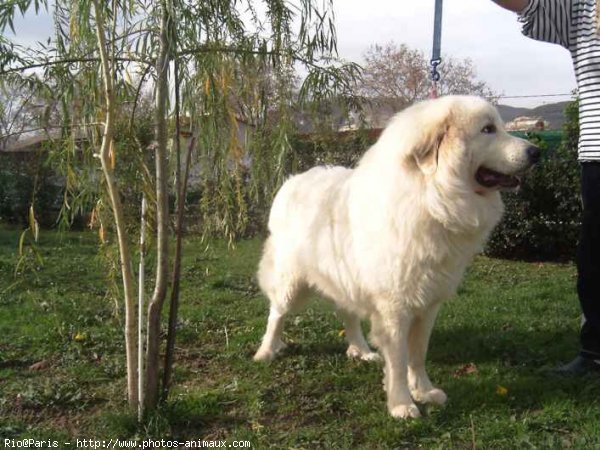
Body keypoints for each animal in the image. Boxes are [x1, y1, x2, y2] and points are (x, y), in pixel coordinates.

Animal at [253, 96, 540, 418]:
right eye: (488, 129)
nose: (536, 152)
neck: (432, 198)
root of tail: (292, 181)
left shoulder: (428, 305)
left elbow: (417, 354)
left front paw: (424, 391)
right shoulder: (395, 309)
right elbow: (400, 360)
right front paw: (402, 403)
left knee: (347, 313)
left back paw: (361, 351)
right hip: (291, 283)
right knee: (277, 313)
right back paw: (266, 351)